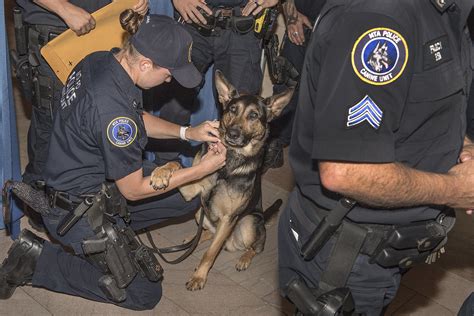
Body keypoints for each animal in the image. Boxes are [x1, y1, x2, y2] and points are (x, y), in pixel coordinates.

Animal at [150, 70, 294, 290]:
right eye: (232, 109)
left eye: (254, 115)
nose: (232, 133)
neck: (227, 165)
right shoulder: (192, 192)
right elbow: (178, 165)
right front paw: (161, 173)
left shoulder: (228, 219)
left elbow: (210, 254)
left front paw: (199, 277)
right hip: (199, 211)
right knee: (209, 232)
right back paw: (193, 238)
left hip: (249, 222)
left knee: (255, 247)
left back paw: (244, 258)